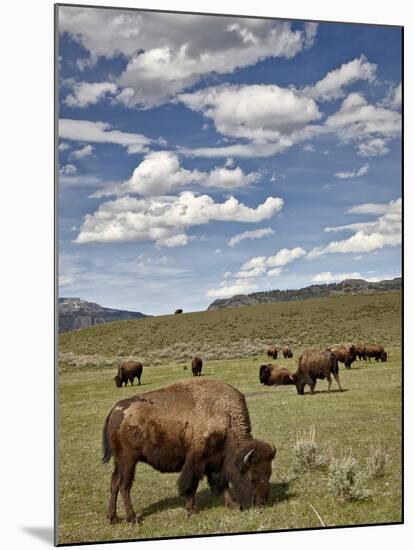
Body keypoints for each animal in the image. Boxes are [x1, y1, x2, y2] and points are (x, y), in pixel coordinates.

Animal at [102, 380, 276, 528]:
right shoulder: (197, 461)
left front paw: (232, 504)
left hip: (119, 462)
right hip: (128, 461)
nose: (261, 503)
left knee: (114, 482)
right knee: (124, 486)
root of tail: (114, 410)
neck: (227, 419)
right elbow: (192, 485)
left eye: (269, 474)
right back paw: (133, 519)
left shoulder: (217, 462)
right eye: (252, 477)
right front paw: (191, 510)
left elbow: (223, 483)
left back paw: (113, 518)